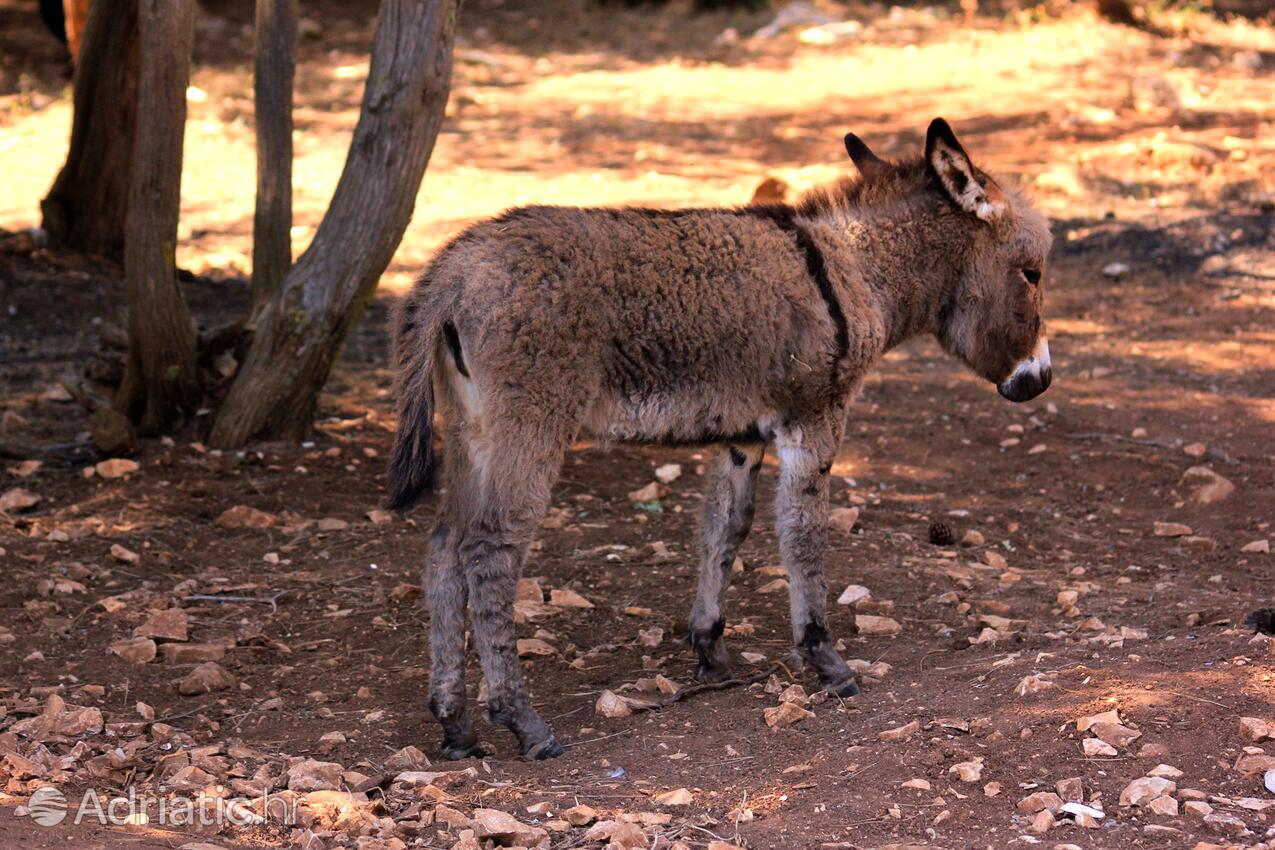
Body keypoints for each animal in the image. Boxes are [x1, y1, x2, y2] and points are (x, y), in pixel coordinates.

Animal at [387, 117, 1055, 759]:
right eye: (1032, 273)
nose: (1040, 380)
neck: (851, 273)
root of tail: (451, 272)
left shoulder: (743, 436)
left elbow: (725, 527)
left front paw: (709, 647)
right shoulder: (815, 418)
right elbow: (801, 535)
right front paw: (825, 659)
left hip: (471, 430)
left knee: (444, 547)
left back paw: (455, 725)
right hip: (530, 426)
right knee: (489, 550)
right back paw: (524, 723)